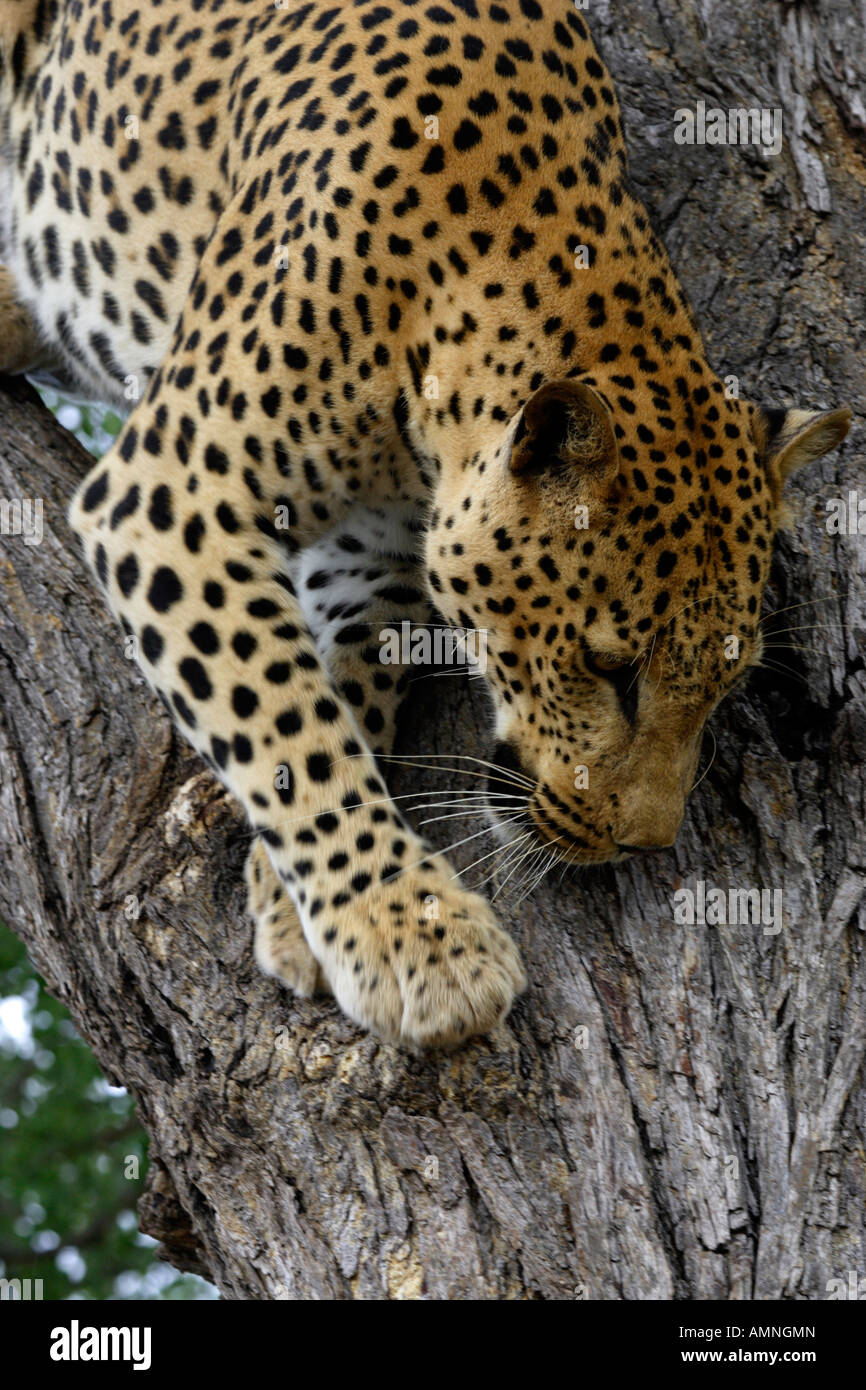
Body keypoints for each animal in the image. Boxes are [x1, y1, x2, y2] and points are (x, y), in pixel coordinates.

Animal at [0, 0, 856, 1045]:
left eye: (729, 684)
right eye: (608, 668)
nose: (647, 845)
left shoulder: (370, 557)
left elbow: (335, 696)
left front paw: (292, 907)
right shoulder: (168, 497)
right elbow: (281, 724)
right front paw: (415, 936)